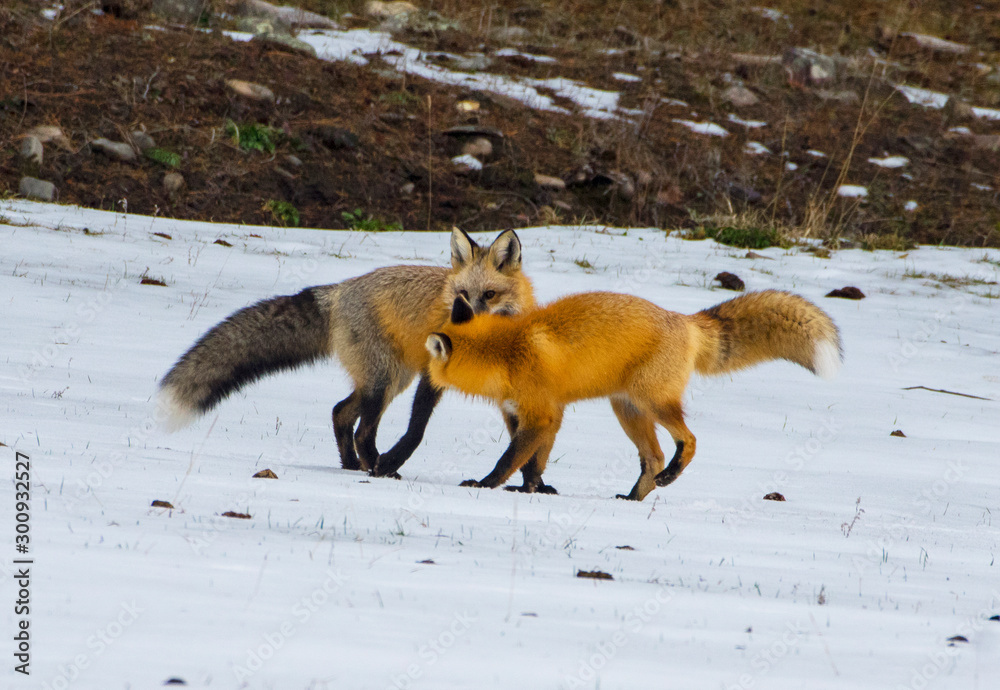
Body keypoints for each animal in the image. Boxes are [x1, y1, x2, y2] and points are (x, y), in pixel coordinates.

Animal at [158, 228, 536, 476]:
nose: (465, 323)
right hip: (384, 381)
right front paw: (392, 461)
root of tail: (339, 290)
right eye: (461, 295)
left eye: (489, 295)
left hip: (388, 381)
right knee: (361, 429)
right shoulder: (432, 372)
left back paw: (352, 466)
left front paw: (534, 483)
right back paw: (375, 467)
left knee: (340, 412)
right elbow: (416, 430)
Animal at [425, 289, 841, 501]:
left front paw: (485, 485)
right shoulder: (533, 415)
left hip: (652, 402)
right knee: (652, 458)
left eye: (430, 360)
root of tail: (685, 320)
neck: (505, 353)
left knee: (688, 440)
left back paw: (671, 473)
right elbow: (532, 463)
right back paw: (635, 498)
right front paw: (533, 490)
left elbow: (509, 458)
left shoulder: (541, 414)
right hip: (627, 410)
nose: (424, 379)